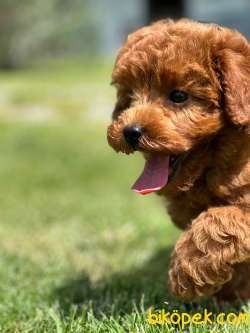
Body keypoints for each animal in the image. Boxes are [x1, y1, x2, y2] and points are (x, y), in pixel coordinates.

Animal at [106, 18, 250, 300]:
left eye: (179, 96)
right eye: (129, 97)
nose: (130, 131)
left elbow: (219, 217)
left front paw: (187, 273)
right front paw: (226, 293)